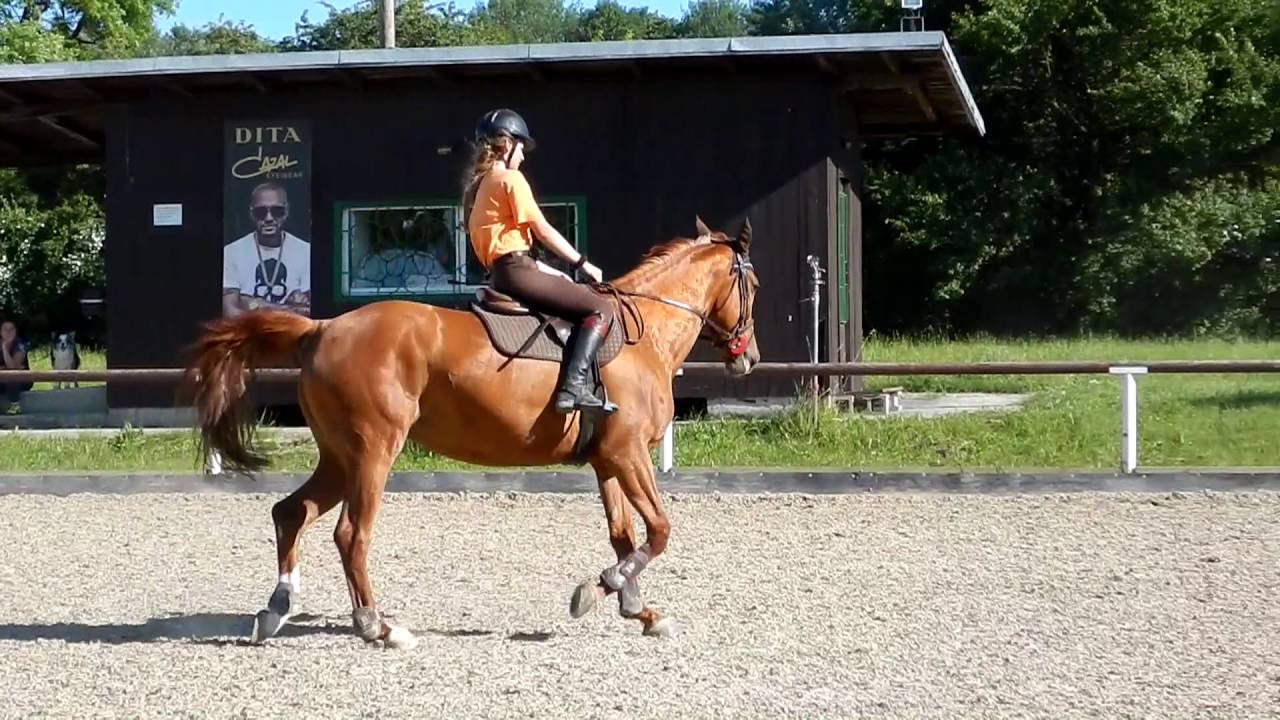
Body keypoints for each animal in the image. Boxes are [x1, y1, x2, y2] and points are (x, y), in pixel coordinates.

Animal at [180, 215, 760, 649]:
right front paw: (605, 588)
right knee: (351, 535)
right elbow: (658, 530)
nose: (749, 357)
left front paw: (636, 608)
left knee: (291, 512)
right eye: (751, 285)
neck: (645, 336)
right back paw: (378, 626)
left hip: (339, 456)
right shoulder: (627, 453)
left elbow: (623, 535)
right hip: (373, 452)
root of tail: (322, 328)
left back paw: (276, 609)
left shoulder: (608, 459)